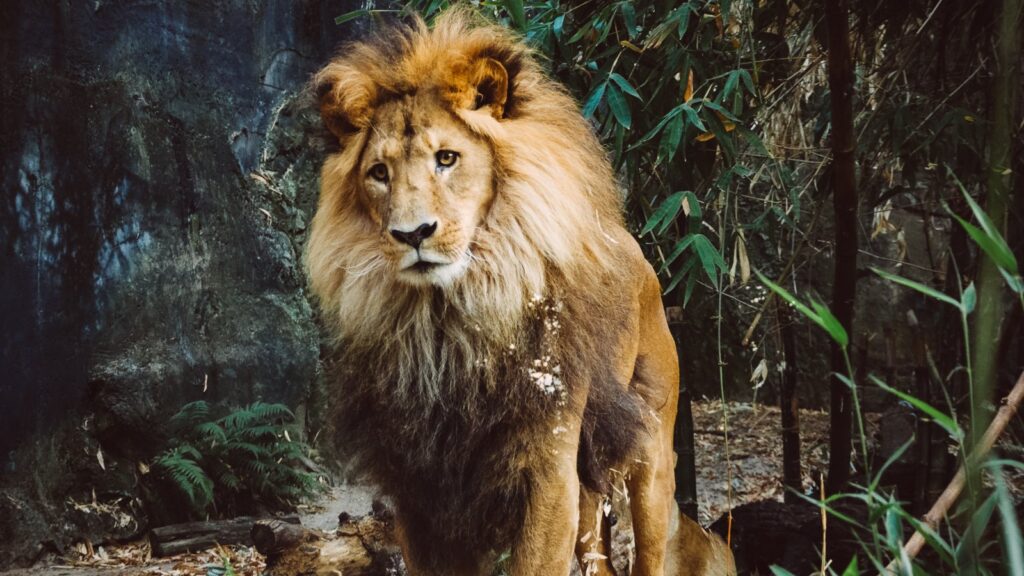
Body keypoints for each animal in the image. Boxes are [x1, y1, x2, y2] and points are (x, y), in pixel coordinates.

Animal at [306, 9, 734, 576]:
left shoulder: (548, 470)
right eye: (379, 173)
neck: (448, 322)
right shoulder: (419, 487)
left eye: (447, 158)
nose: (412, 234)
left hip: (652, 457)